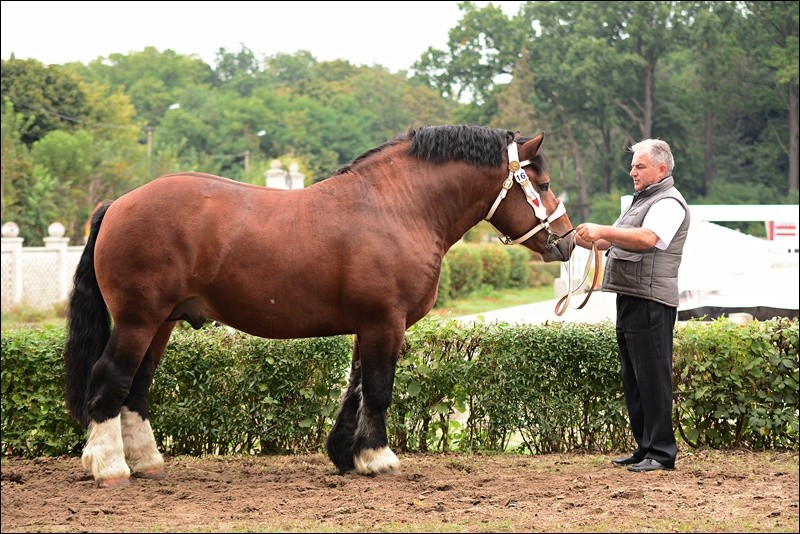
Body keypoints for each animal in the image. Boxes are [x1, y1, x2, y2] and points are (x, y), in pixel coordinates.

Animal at [64, 123, 576, 488]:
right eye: (544, 183)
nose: (568, 240)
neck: (395, 207)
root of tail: (117, 204)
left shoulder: (368, 325)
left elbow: (356, 389)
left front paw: (347, 455)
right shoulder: (384, 323)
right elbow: (379, 389)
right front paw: (379, 458)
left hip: (161, 323)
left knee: (136, 385)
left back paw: (146, 461)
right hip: (138, 319)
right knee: (110, 378)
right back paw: (109, 467)